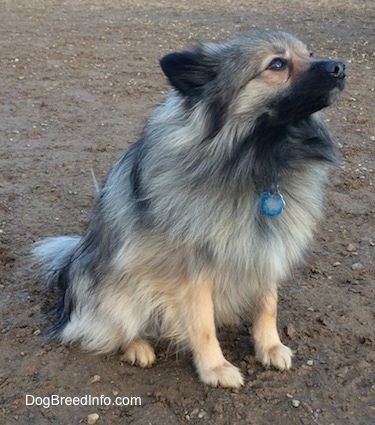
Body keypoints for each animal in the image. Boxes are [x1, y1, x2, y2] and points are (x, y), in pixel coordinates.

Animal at [33, 29, 346, 388]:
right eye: (277, 64)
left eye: (310, 53)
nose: (340, 67)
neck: (258, 159)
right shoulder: (194, 268)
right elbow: (202, 324)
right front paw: (215, 368)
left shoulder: (266, 247)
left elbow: (267, 305)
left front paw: (269, 346)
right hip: (119, 289)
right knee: (106, 327)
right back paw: (137, 346)